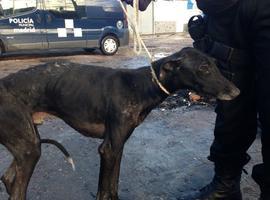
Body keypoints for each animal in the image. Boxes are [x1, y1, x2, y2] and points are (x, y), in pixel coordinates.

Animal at [0, 47, 240, 199]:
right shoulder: (108, 149)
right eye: (203, 68)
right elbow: (104, 191)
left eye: (215, 65)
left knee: (8, 178)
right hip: (29, 147)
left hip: (27, 143)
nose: (237, 92)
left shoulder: (118, 146)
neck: (141, 85)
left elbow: (113, 186)